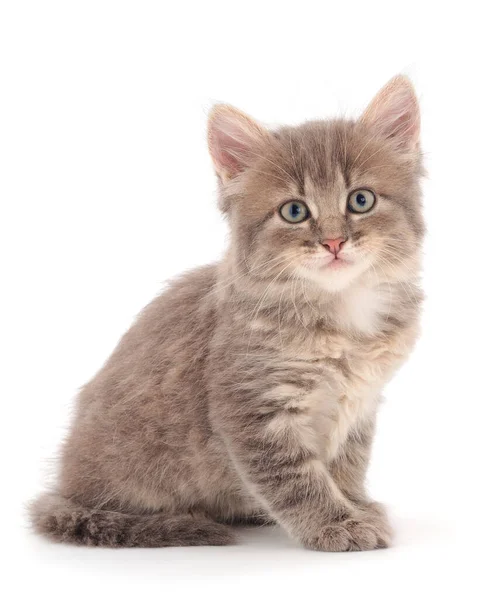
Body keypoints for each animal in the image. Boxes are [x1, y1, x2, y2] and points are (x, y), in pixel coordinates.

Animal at [32, 76, 426, 552]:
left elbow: (347, 466)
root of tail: (65, 486)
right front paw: (336, 524)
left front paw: (356, 505)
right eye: (294, 211)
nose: (333, 242)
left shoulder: (359, 406)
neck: (341, 313)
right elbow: (297, 480)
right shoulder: (253, 409)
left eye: (361, 200)